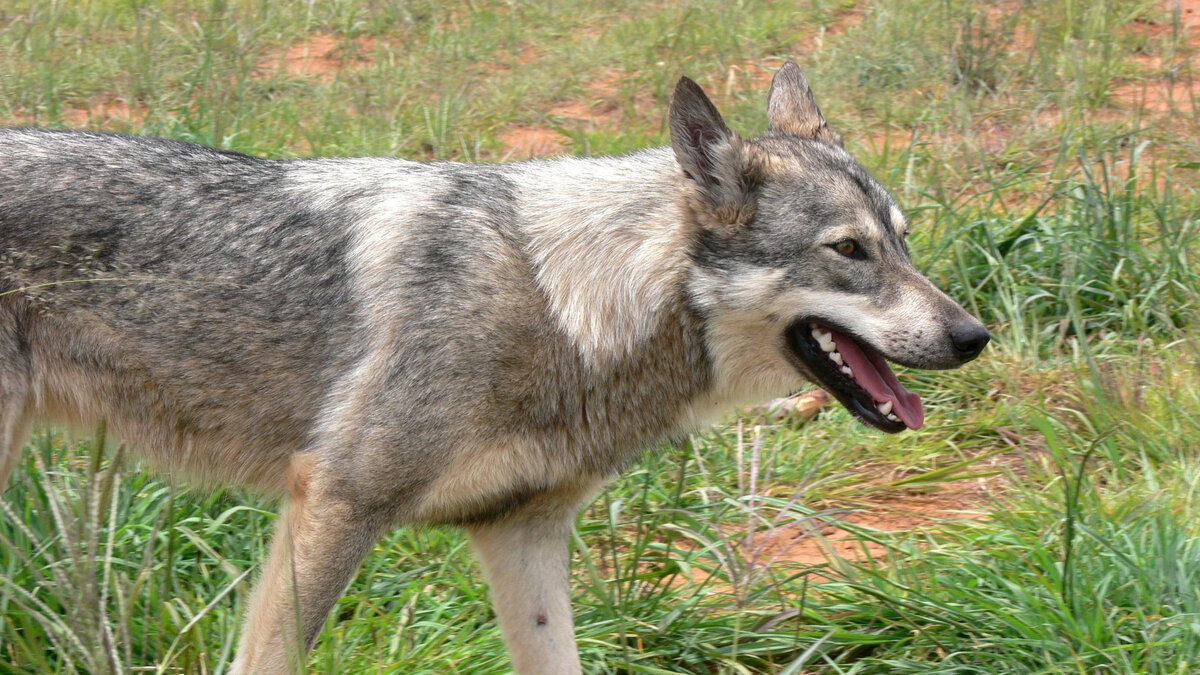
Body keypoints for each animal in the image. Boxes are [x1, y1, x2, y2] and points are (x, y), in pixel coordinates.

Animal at [0, 61, 988, 667]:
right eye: (849, 250)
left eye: (904, 242)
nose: (974, 336)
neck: (563, 302)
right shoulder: (336, 503)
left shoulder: (522, 537)